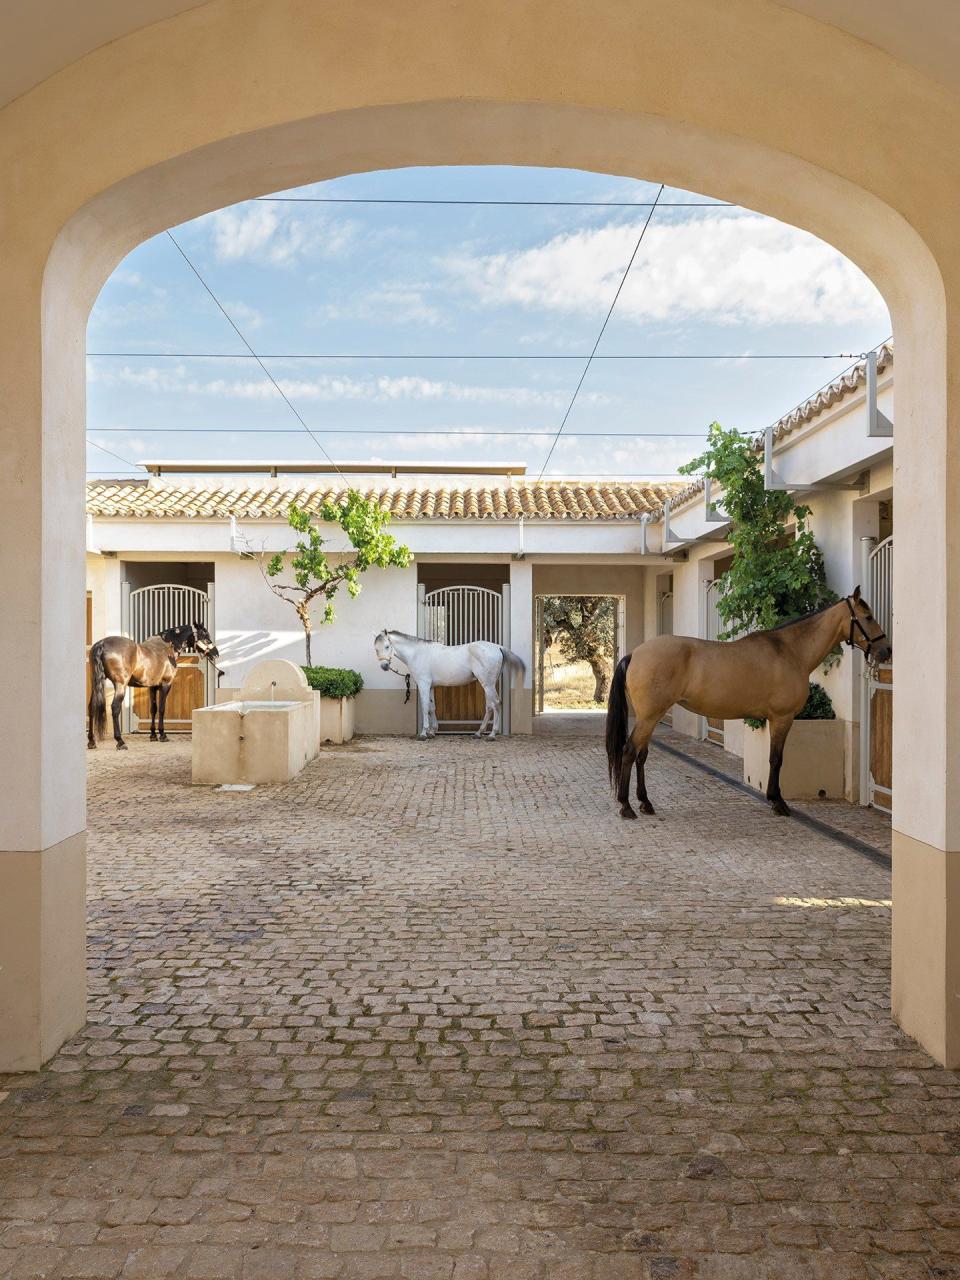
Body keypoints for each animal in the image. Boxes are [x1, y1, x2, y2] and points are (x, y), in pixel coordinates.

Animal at [88, 619, 220, 747]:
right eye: (206, 637)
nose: (216, 654)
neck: (167, 648)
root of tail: (102, 644)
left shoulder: (152, 687)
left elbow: (153, 709)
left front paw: (153, 735)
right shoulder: (165, 685)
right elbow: (161, 709)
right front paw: (162, 734)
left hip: (95, 684)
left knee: (91, 707)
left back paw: (91, 741)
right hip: (120, 685)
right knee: (115, 708)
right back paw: (120, 741)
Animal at [373, 629, 527, 742]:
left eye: (387, 646)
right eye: (375, 649)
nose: (384, 666)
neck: (417, 654)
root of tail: (498, 647)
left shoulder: (424, 684)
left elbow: (425, 707)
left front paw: (423, 734)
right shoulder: (430, 686)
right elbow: (432, 708)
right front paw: (432, 732)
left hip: (487, 684)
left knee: (495, 703)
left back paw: (492, 735)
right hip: (487, 684)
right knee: (490, 706)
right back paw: (478, 733)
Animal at [609, 588, 896, 819]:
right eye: (868, 617)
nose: (886, 650)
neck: (791, 651)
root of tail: (636, 654)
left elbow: (774, 758)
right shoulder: (782, 718)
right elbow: (776, 759)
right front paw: (778, 802)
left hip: (651, 716)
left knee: (642, 755)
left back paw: (645, 802)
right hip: (649, 717)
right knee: (629, 751)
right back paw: (626, 806)